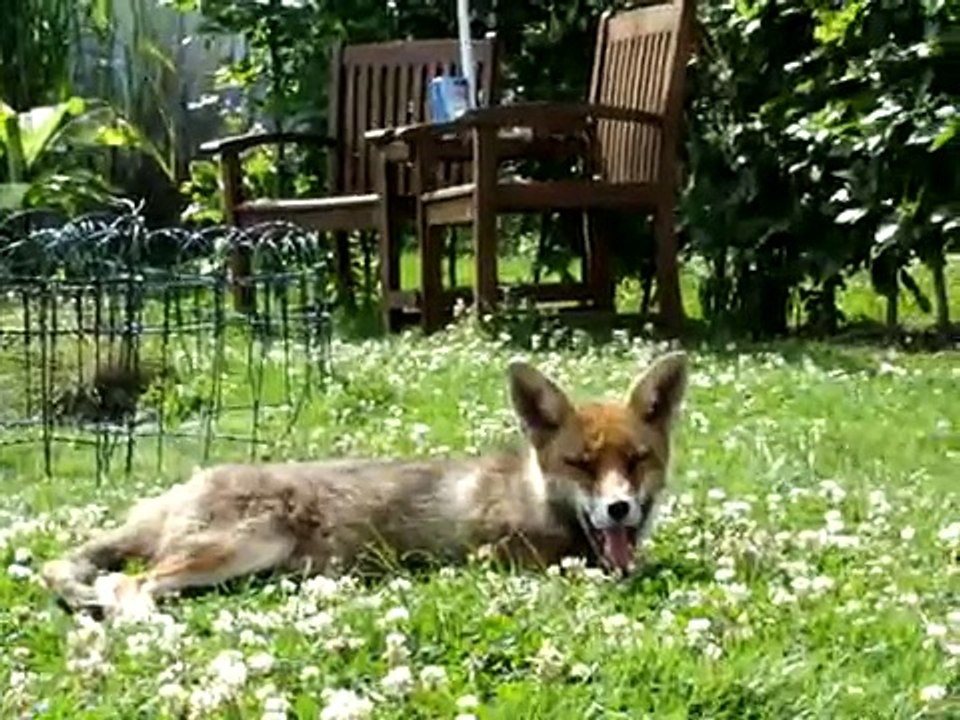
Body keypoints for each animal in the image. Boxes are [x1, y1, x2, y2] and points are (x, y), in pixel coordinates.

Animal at [41, 351, 688, 619]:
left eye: (637, 460)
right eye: (581, 464)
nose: (620, 509)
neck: (535, 498)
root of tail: (185, 483)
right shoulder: (504, 560)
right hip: (245, 544)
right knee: (127, 584)